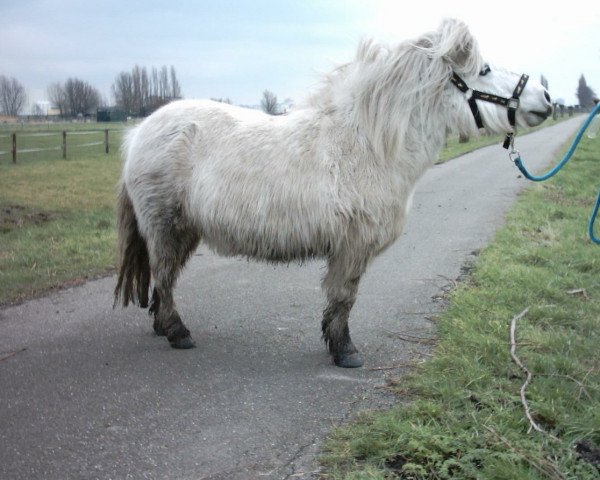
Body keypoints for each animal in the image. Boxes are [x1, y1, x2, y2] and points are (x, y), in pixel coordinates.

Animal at [115, 16, 552, 366]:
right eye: (485, 69)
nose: (546, 98)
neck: (370, 145)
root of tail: (140, 132)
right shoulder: (352, 247)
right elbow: (344, 297)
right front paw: (345, 351)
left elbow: (339, 299)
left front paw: (334, 341)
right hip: (166, 227)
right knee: (164, 275)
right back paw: (177, 333)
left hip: (184, 230)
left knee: (164, 279)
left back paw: (163, 327)